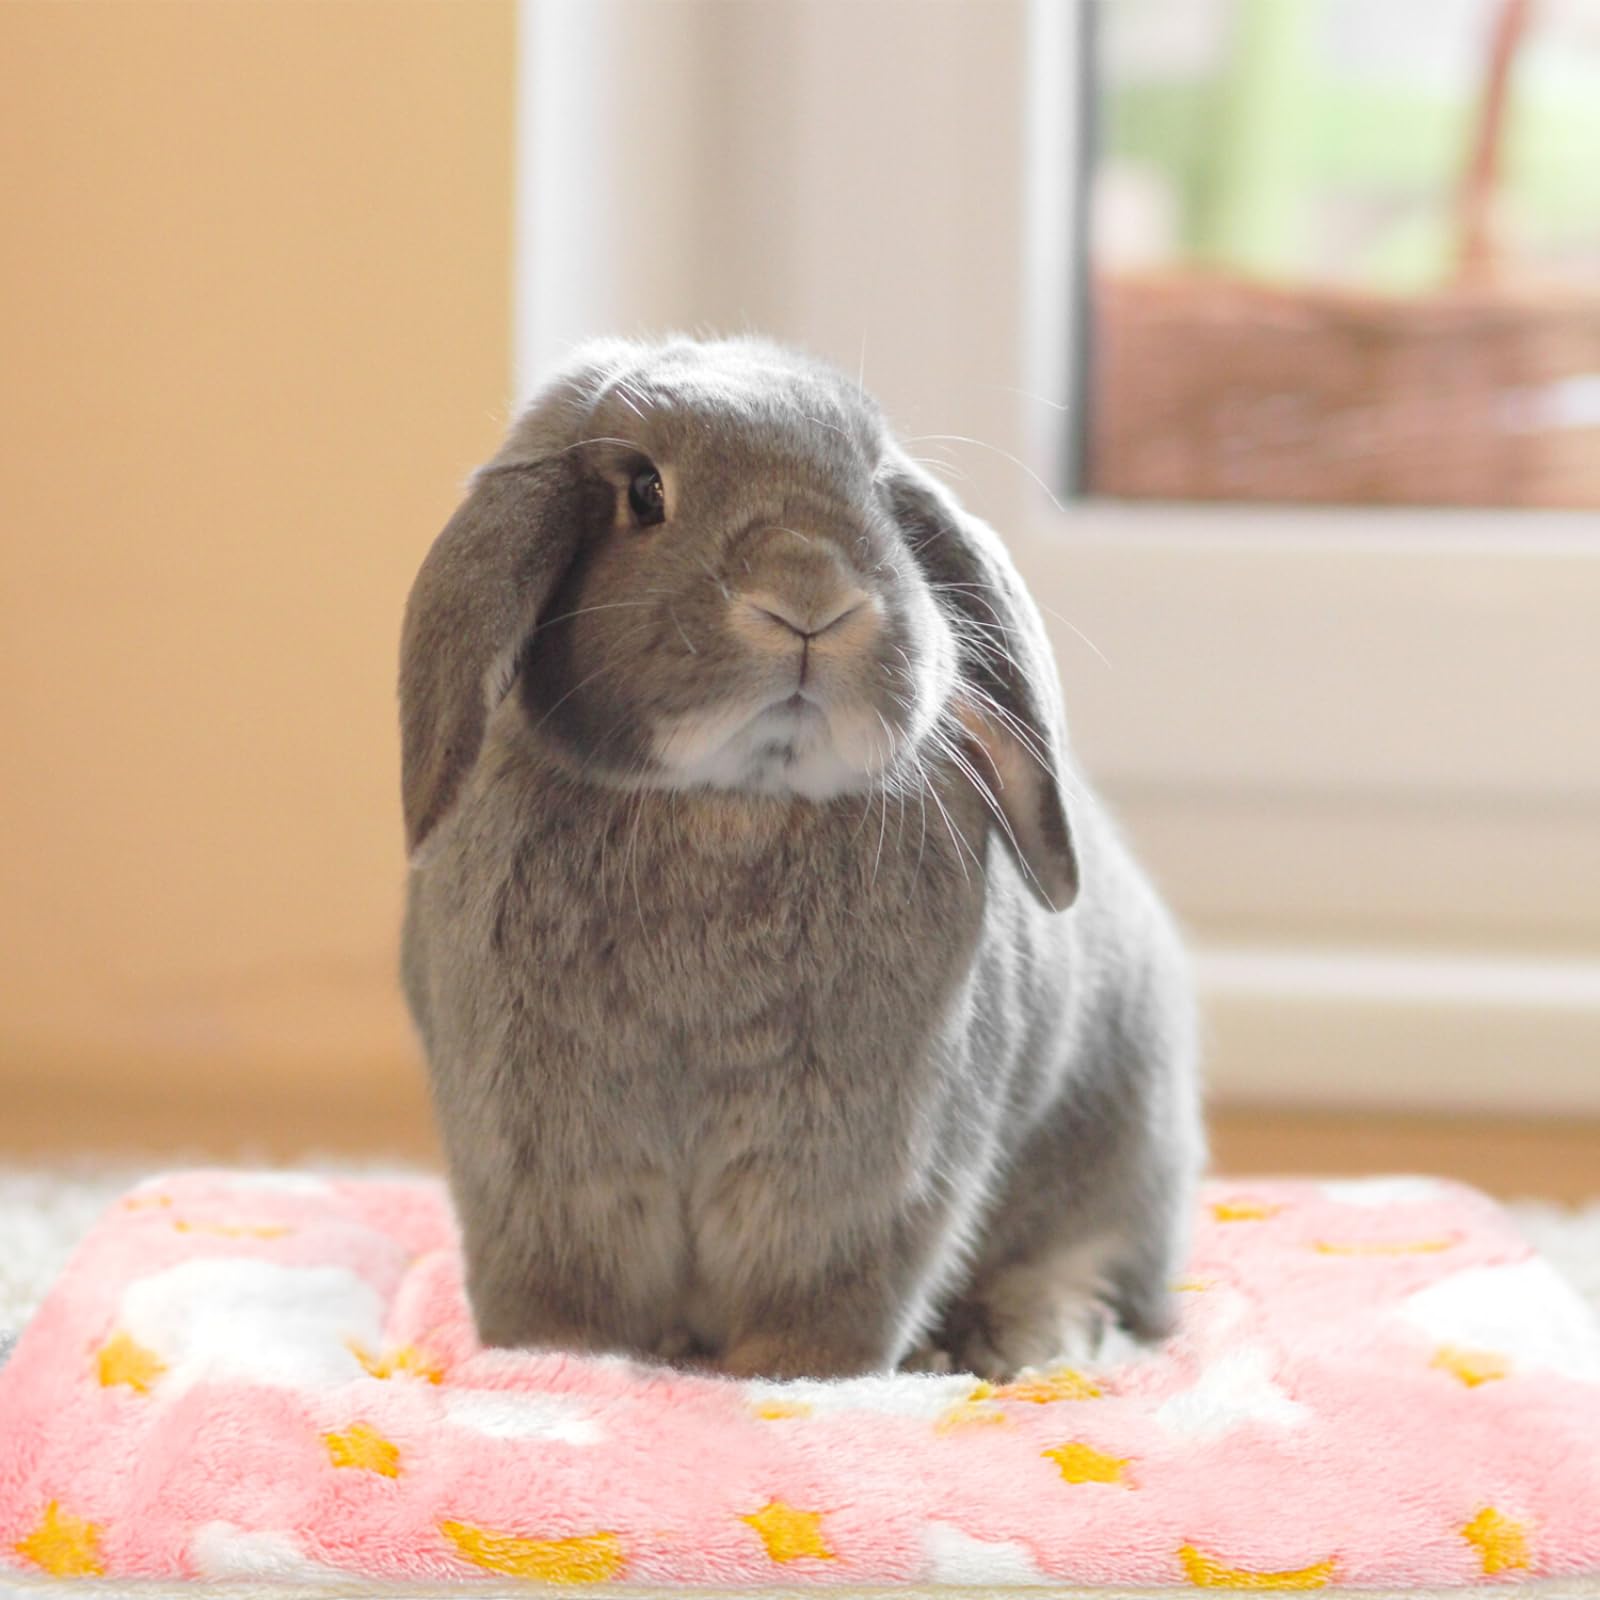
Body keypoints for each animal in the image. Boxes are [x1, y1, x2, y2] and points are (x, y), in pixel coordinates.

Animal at [398, 335, 1202, 1382]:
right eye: (645, 492)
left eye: (877, 490)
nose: (812, 598)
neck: (731, 802)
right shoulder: (534, 1150)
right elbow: (565, 1291)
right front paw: (563, 1364)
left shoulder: (866, 1162)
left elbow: (826, 1295)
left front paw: (792, 1378)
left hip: (1119, 1144)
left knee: (1090, 1271)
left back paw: (1014, 1346)